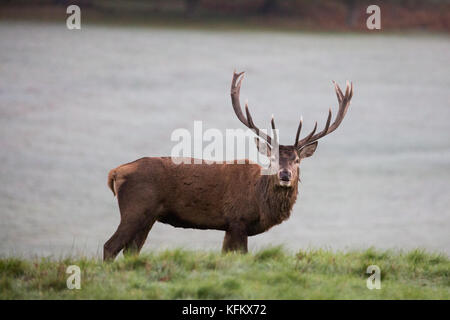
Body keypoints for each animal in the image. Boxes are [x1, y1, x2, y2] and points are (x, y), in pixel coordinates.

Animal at [103, 72, 354, 260]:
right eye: (272, 159)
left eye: (297, 160)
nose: (285, 175)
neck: (260, 201)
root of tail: (116, 172)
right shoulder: (237, 220)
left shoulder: (229, 226)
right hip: (136, 208)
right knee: (110, 246)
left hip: (149, 216)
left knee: (131, 251)